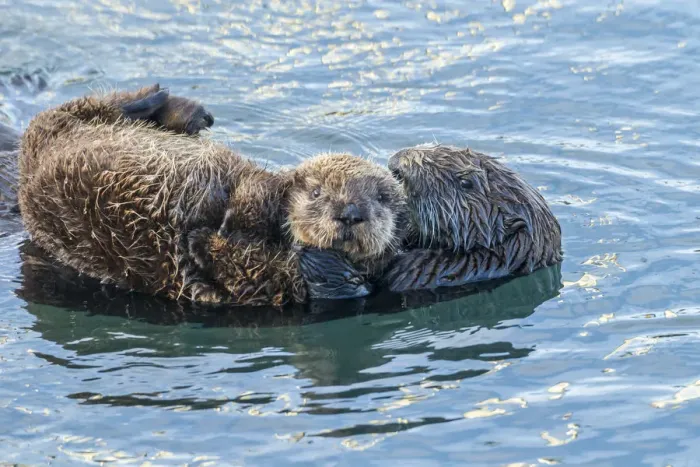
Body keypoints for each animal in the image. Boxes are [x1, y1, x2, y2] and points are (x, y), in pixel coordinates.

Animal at [18, 85, 402, 307]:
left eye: (382, 198)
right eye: (317, 191)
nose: (350, 213)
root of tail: (31, 163)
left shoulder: (256, 283)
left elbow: (217, 256)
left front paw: (201, 239)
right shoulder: (258, 192)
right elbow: (248, 194)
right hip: (62, 126)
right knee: (89, 107)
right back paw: (173, 106)